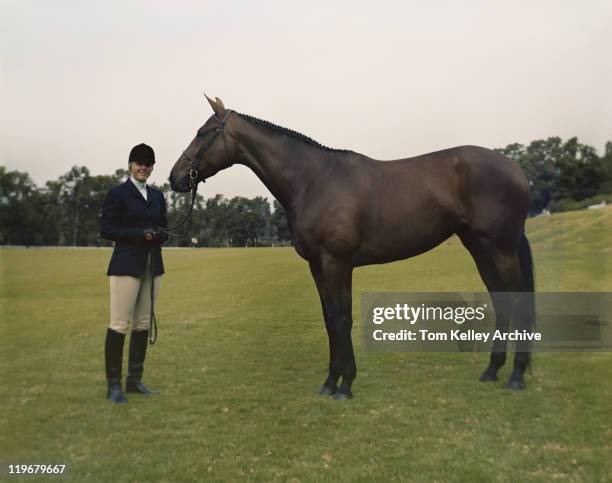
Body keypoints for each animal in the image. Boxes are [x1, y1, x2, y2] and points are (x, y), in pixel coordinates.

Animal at [169, 95, 536, 400]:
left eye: (203, 133)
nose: (175, 177)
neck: (313, 181)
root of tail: (514, 168)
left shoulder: (337, 263)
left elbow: (342, 317)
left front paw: (345, 385)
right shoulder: (317, 266)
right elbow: (329, 318)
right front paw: (330, 382)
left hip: (500, 247)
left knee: (517, 300)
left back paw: (516, 376)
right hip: (479, 247)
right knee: (501, 299)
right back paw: (492, 370)